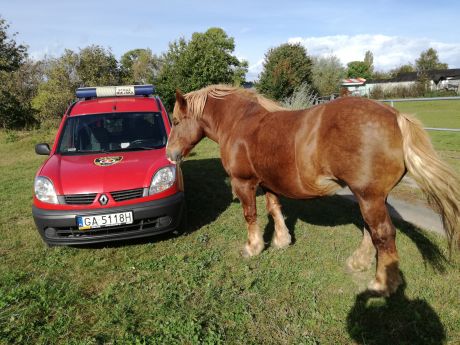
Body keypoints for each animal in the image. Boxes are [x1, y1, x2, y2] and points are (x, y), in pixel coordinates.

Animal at [168, 84, 460, 294]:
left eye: (176, 121)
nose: (170, 155)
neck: (240, 123)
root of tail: (395, 116)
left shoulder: (244, 183)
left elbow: (250, 215)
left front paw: (253, 247)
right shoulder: (268, 183)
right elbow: (274, 209)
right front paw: (282, 240)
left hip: (369, 196)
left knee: (383, 234)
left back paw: (381, 284)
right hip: (373, 197)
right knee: (371, 230)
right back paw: (359, 262)